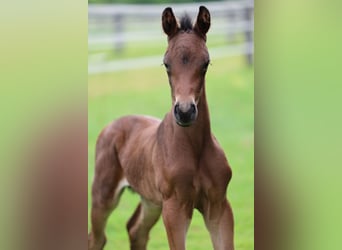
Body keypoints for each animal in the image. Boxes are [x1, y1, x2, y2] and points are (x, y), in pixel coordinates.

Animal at [87, 5, 235, 250]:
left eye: (206, 63)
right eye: (166, 63)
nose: (184, 111)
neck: (195, 149)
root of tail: (111, 125)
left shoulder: (219, 206)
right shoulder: (175, 209)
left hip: (151, 201)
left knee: (136, 230)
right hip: (104, 194)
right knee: (97, 238)